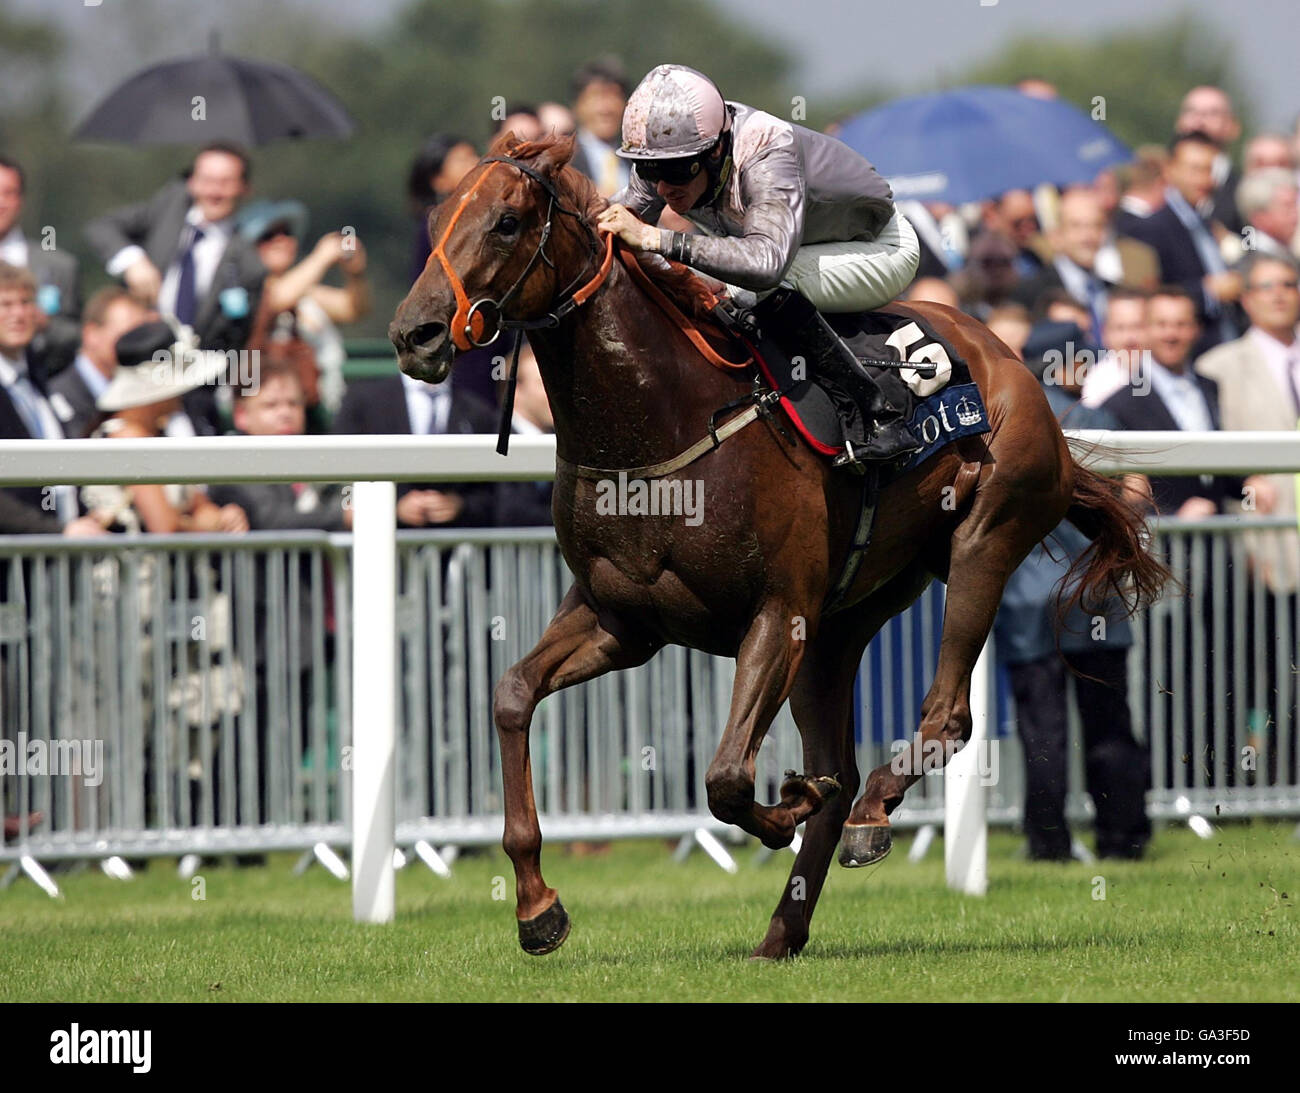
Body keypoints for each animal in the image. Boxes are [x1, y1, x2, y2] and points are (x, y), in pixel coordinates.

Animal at [387, 131, 1170, 961]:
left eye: (506, 223)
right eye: (435, 217)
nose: (415, 333)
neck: (664, 421)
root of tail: (1011, 359)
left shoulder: (776, 614)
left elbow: (728, 774)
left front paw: (786, 801)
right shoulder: (620, 619)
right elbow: (510, 694)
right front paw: (538, 906)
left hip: (984, 537)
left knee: (943, 717)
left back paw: (868, 813)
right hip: (840, 625)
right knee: (843, 764)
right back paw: (783, 927)